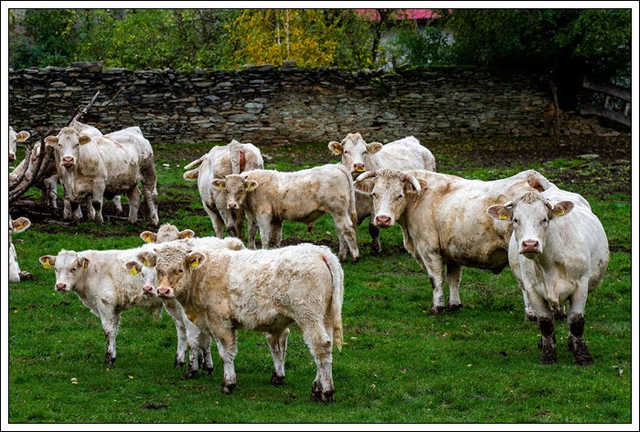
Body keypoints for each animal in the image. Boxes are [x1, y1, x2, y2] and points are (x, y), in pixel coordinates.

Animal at [138, 243, 342, 402]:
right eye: (158, 270)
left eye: (179, 269)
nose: (163, 291)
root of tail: (320, 251)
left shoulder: (219, 321)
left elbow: (225, 352)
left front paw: (228, 383)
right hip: (326, 316)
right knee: (325, 348)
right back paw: (317, 387)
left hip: (309, 316)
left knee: (320, 346)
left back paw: (326, 392)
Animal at [212, 165, 358, 260]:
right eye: (226, 190)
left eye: (241, 189)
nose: (232, 205)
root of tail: (336, 166)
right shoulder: (254, 215)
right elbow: (257, 234)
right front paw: (252, 249)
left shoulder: (264, 214)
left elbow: (265, 236)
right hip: (339, 212)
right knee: (340, 231)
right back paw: (342, 255)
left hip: (338, 210)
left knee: (347, 229)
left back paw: (354, 256)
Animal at [356, 169, 552, 314]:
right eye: (374, 194)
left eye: (399, 195)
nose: (382, 219)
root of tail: (529, 176)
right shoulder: (452, 251)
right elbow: (453, 279)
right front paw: (455, 304)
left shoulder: (429, 249)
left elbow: (436, 279)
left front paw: (437, 307)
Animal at [488, 189, 608, 364]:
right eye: (516, 220)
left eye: (544, 219)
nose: (530, 244)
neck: (550, 263)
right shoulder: (532, 290)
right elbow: (545, 323)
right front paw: (548, 355)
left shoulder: (581, 285)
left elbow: (576, 321)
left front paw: (583, 356)